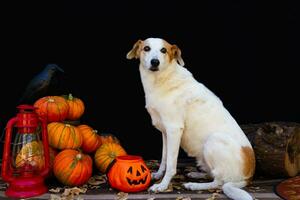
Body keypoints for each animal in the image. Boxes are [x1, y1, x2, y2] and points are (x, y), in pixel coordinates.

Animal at [126, 38, 255, 200]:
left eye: (163, 50)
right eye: (146, 48)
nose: (155, 62)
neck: (162, 79)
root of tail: (248, 176)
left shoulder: (174, 130)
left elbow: (171, 164)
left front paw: (162, 186)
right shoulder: (165, 132)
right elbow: (164, 158)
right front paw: (158, 175)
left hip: (213, 141)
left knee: (218, 182)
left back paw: (194, 186)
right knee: (212, 175)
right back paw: (197, 174)